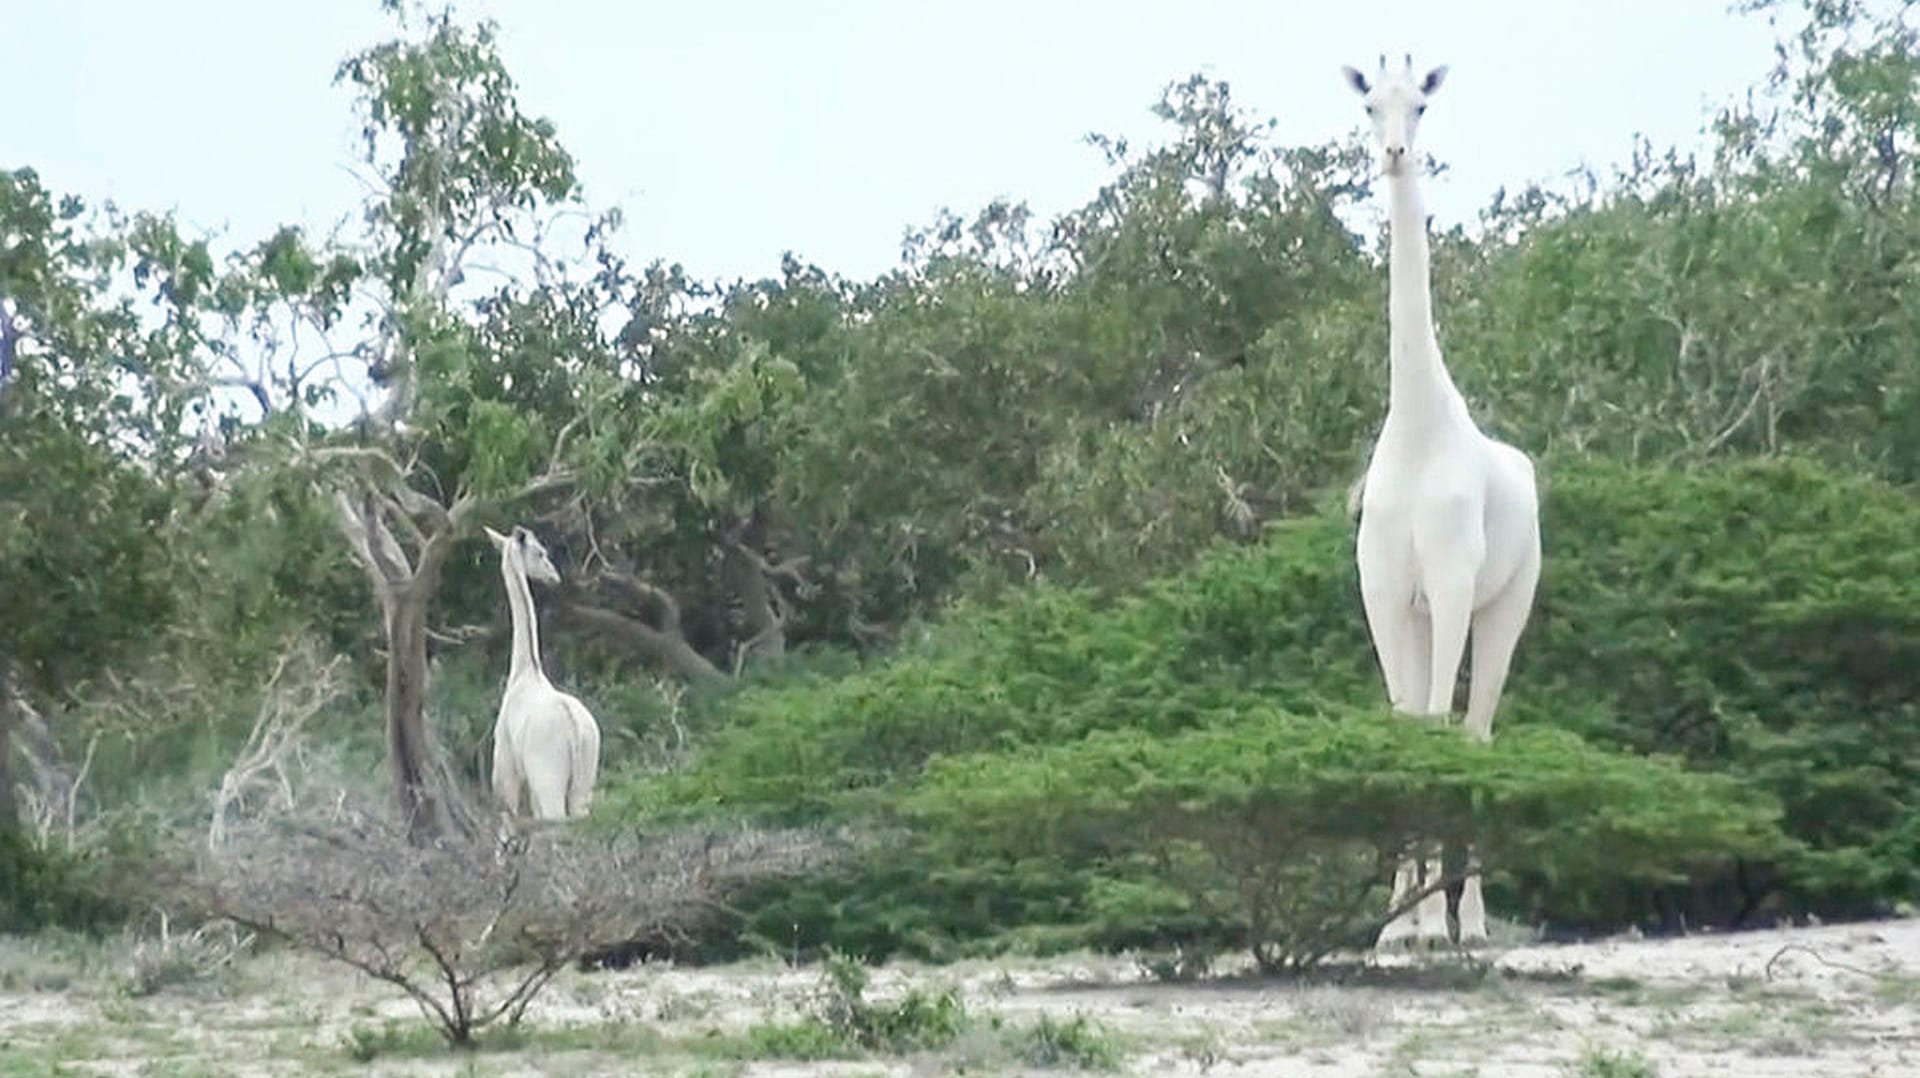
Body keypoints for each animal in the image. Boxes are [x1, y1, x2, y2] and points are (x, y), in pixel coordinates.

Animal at [483, 526, 595, 818]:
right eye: (540, 552)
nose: (554, 577)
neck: (524, 671)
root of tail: (574, 727)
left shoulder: (507, 774)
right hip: (583, 784)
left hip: (548, 779)